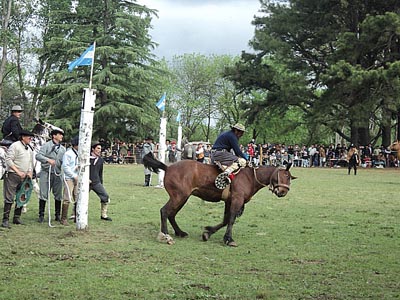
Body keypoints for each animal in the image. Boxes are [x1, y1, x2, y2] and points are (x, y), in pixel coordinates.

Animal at [142, 155, 296, 246]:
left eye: (289, 178)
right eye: (285, 175)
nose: (283, 192)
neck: (250, 177)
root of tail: (168, 167)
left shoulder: (229, 201)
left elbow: (226, 220)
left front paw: (208, 232)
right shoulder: (237, 200)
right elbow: (231, 220)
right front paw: (229, 239)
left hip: (182, 198)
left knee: (171, 214)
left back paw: (179, 232)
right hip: (179, 197)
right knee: (164, 211)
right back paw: (165, 236)